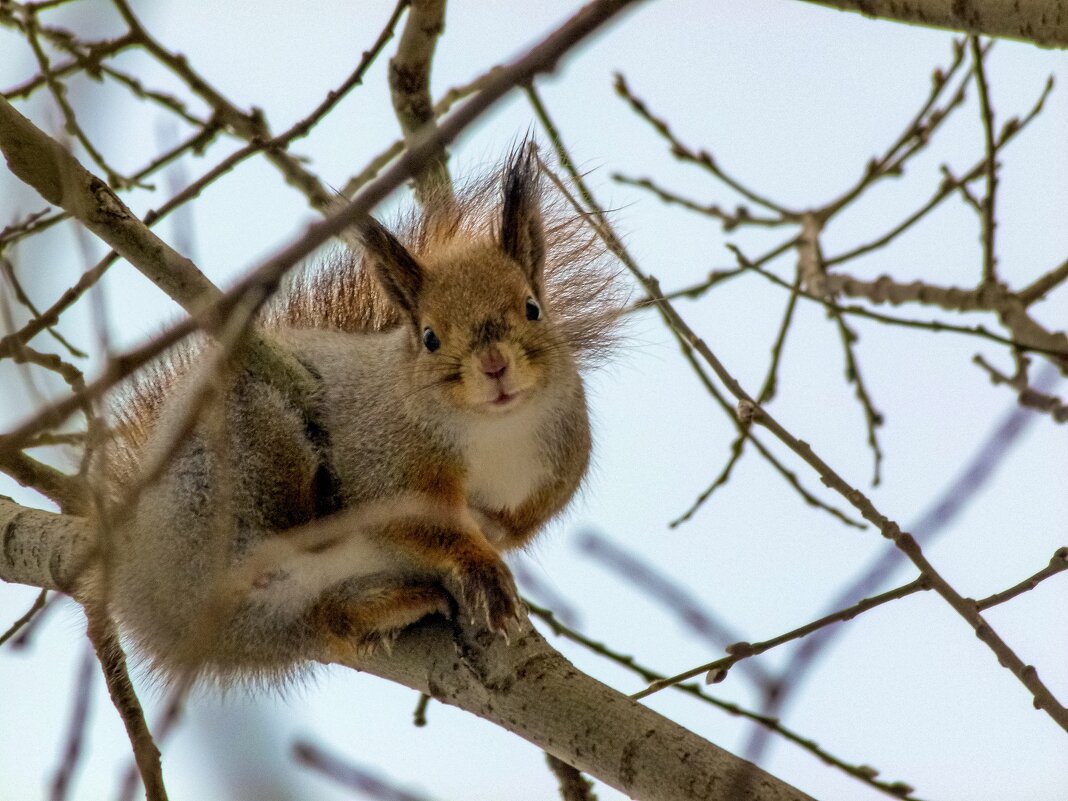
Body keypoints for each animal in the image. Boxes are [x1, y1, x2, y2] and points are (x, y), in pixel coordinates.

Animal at [98, 144, 623, 683]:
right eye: (429, 337)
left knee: (331, 620)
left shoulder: (549, 474)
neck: (494, 431)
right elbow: (415, 522)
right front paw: (482, 568)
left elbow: (511, 524)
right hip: (235, 455)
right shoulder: (383, 459)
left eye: (533, 308)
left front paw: (489, 539)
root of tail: (145, 589)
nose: (494, 364)